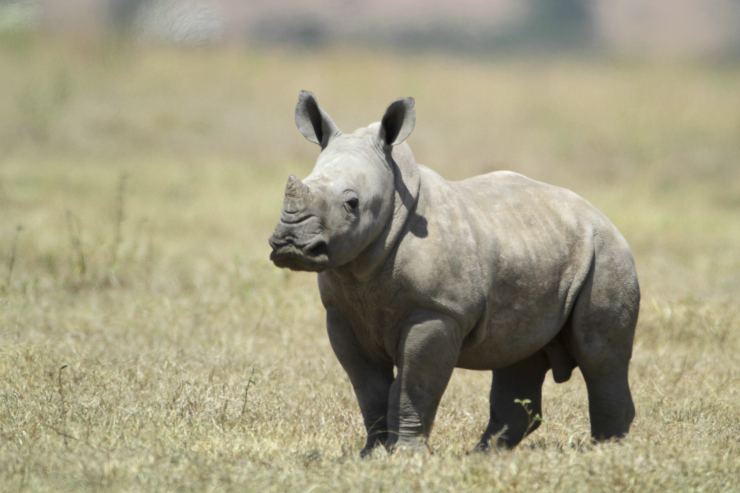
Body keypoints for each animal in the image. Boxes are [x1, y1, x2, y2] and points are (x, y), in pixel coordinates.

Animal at [268, 91, 640, 455]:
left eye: (351, 203)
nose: (289, 243)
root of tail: (600, 215)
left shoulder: (438, 310)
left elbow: (413, 386)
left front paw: (407, 455)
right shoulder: (341, 313)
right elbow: (368, 388)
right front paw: (372, 454)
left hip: (606, 253)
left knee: (599, 355)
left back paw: (606, 451)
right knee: (519, 352)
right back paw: (485, 454)